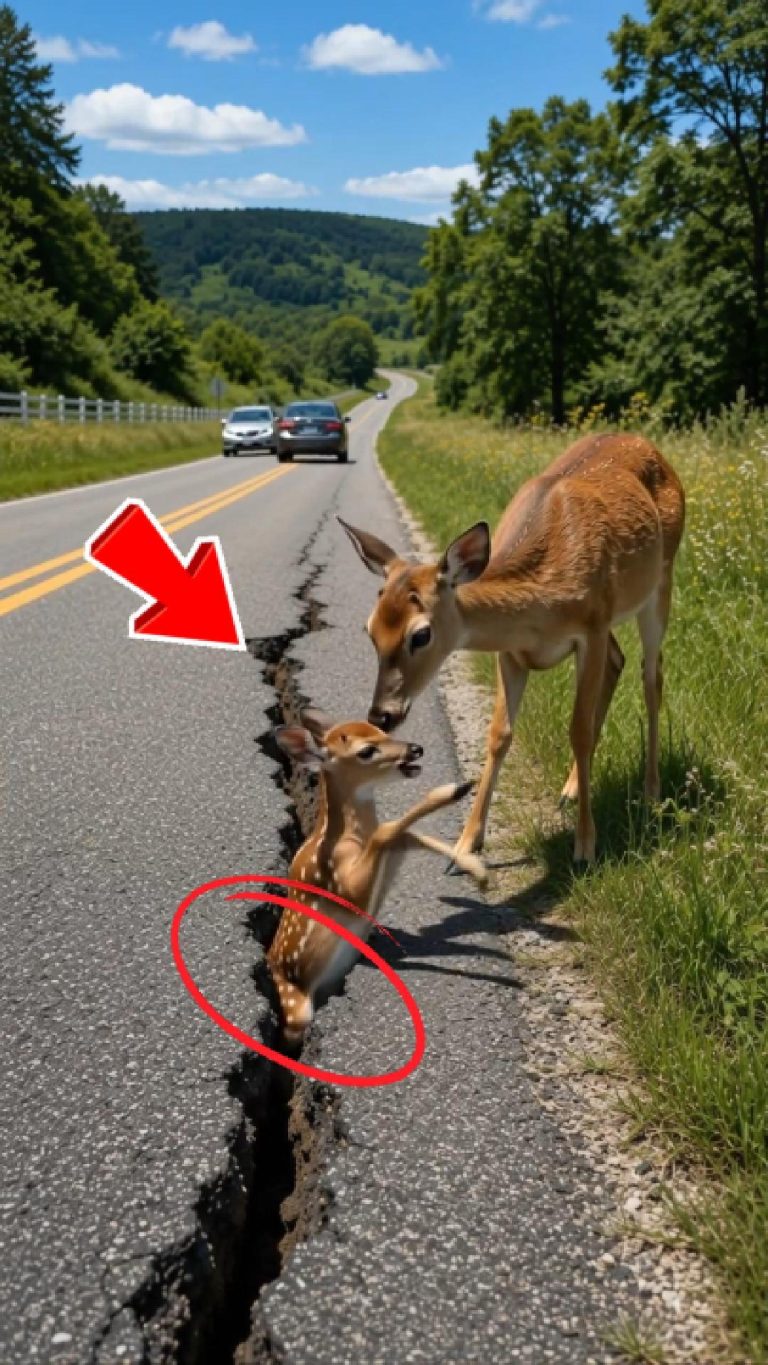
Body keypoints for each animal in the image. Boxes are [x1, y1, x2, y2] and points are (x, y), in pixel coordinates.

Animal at [267, 709, 487, 1044]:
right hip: (296, 1006)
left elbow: (405, 834)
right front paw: (453, 790)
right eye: (366, 751)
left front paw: (476, 868)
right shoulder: (341, 883)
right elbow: (387, 830)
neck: (348, 836)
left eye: (380, 729)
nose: (415, 749)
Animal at [339, 431, 686, 867]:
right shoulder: (511, 652)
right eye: (369, 629)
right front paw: (464, 845)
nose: (380, 715)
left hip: (661, 579)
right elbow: (499, 733)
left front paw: (585, 845)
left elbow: (578, 730)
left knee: (652, 675)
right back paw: (571, 787)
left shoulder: (590, 628)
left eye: (420, 634)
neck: (540, 604)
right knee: (618, 661)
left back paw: (651, 791)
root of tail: (646, 443)